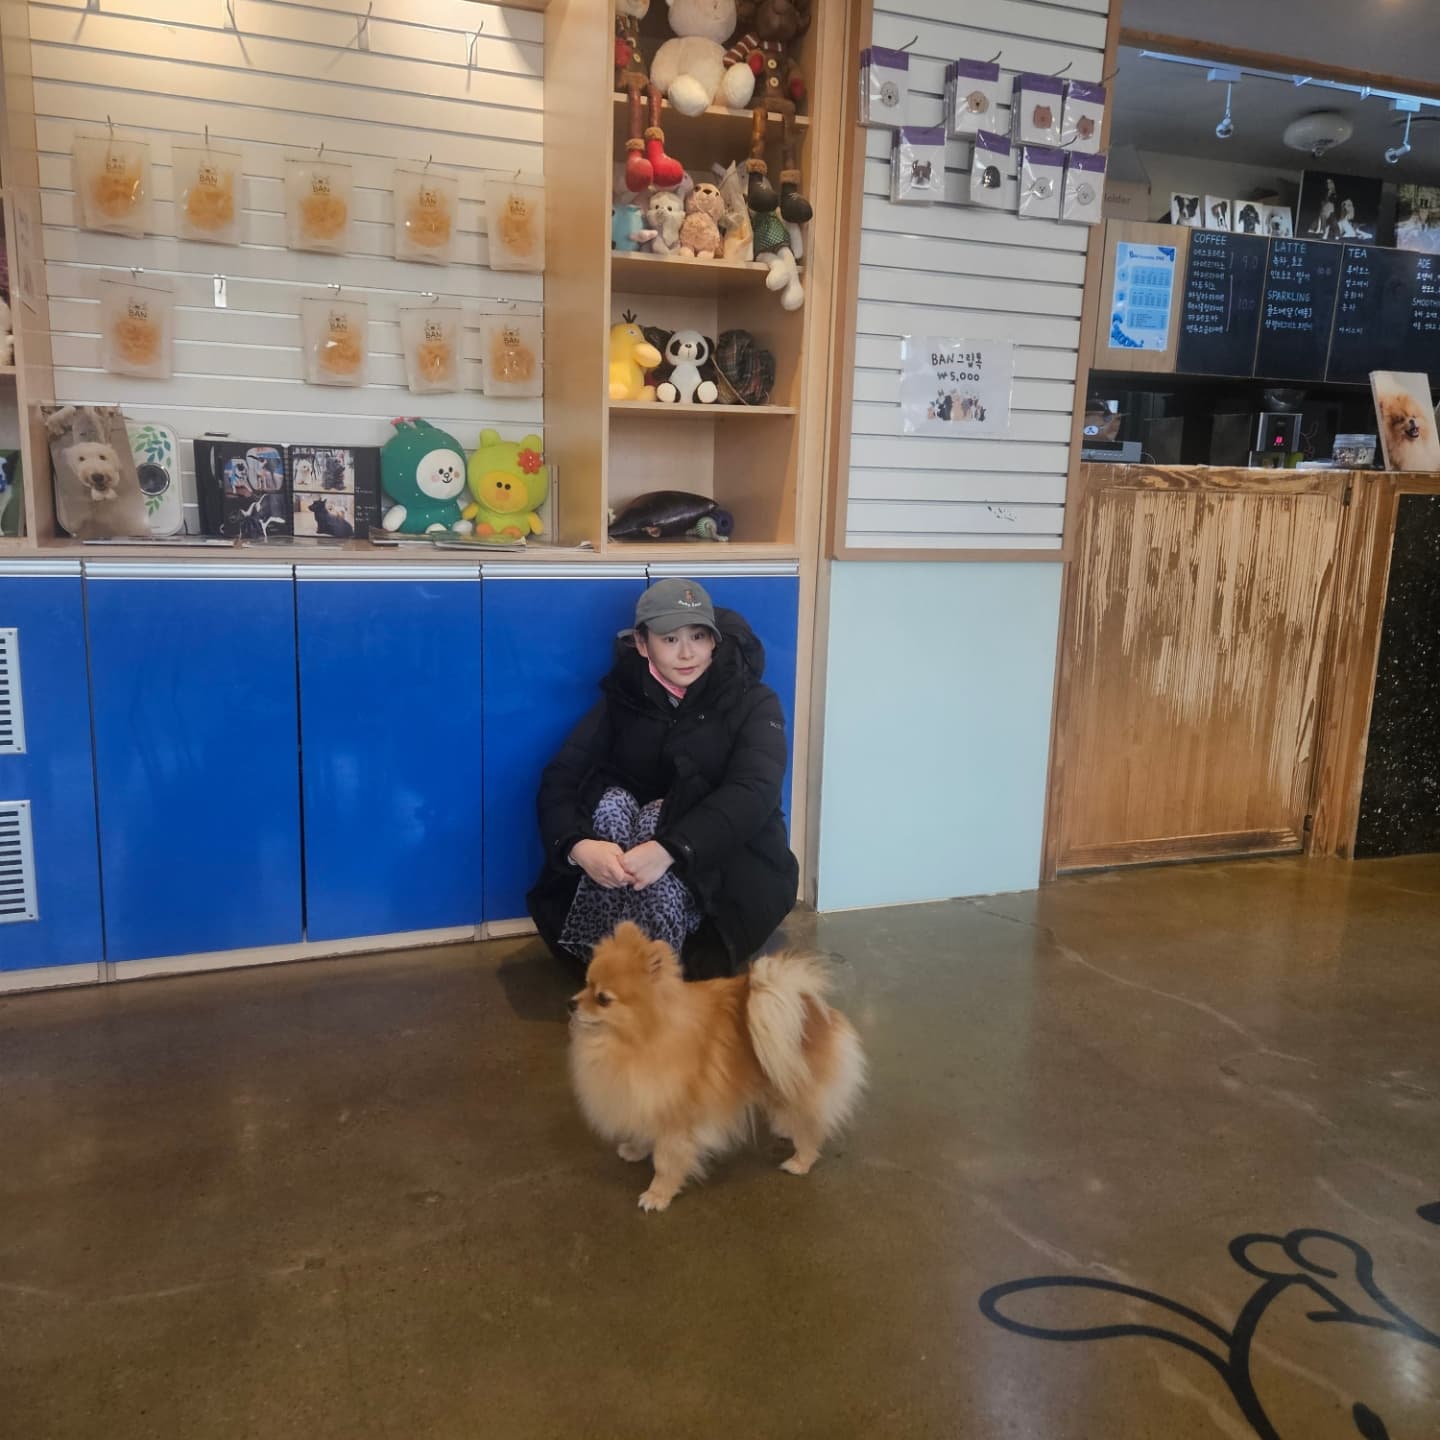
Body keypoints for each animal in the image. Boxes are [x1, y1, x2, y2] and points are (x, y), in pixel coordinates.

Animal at [568, 922, 866, 1212]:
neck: (646, 1036)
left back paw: (800, 1161)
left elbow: (666, 1161)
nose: (571, 1003)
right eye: (586, 983)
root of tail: (808, 1006)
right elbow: (644, 1130)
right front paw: (635, 1149)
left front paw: (658, 1194)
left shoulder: (675, 1118)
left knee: (810, 1126)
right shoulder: (647, 1101)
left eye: (603, 998)